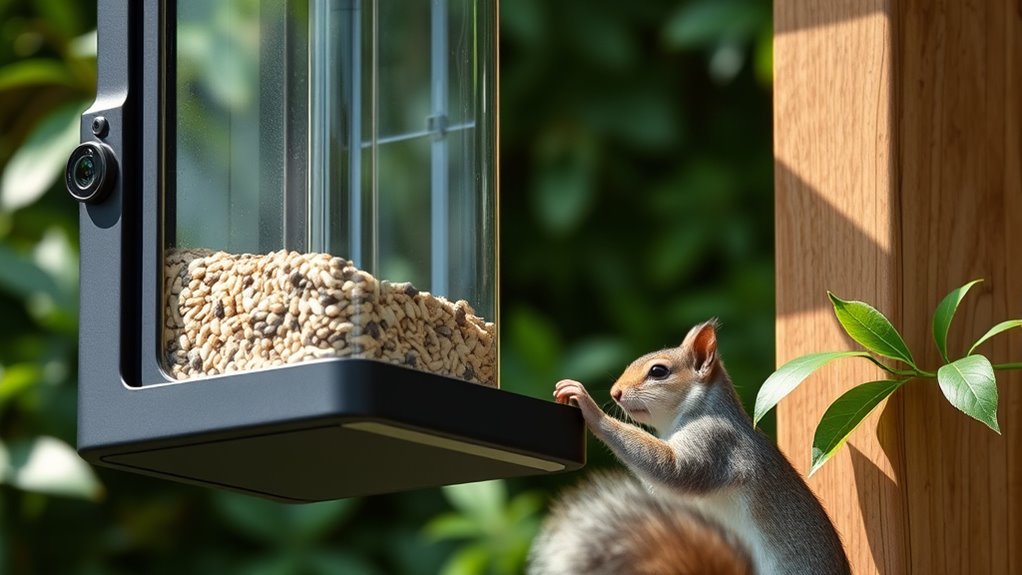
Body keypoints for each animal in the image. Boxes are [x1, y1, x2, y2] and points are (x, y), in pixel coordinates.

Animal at [528, 320, 851, 575]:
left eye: (659, 371)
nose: (615, 392)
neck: (693, 412)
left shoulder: (716, 443)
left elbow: (676, 471)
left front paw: (592, 410)